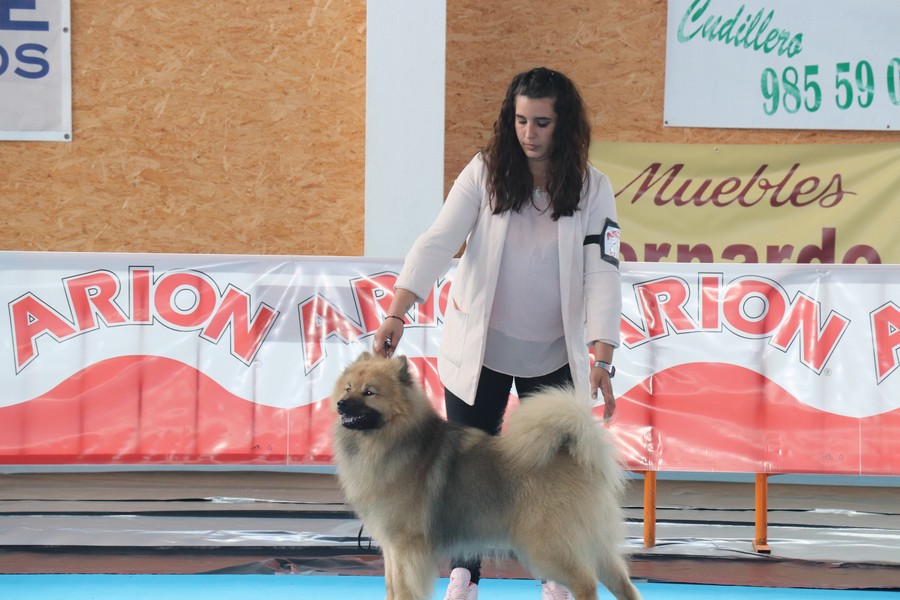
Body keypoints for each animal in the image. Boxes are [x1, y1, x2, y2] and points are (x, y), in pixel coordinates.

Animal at [331, 352, 642, 600]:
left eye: (369, 393)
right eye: (348, 388)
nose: (341, 404)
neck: (393, 440)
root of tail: (573, 454)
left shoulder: (407, 545)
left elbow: (405, 590)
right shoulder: (391, 548)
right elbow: (392, 587)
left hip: (547, 545)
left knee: (586, 583)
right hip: (592, 542)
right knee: (623, 584)